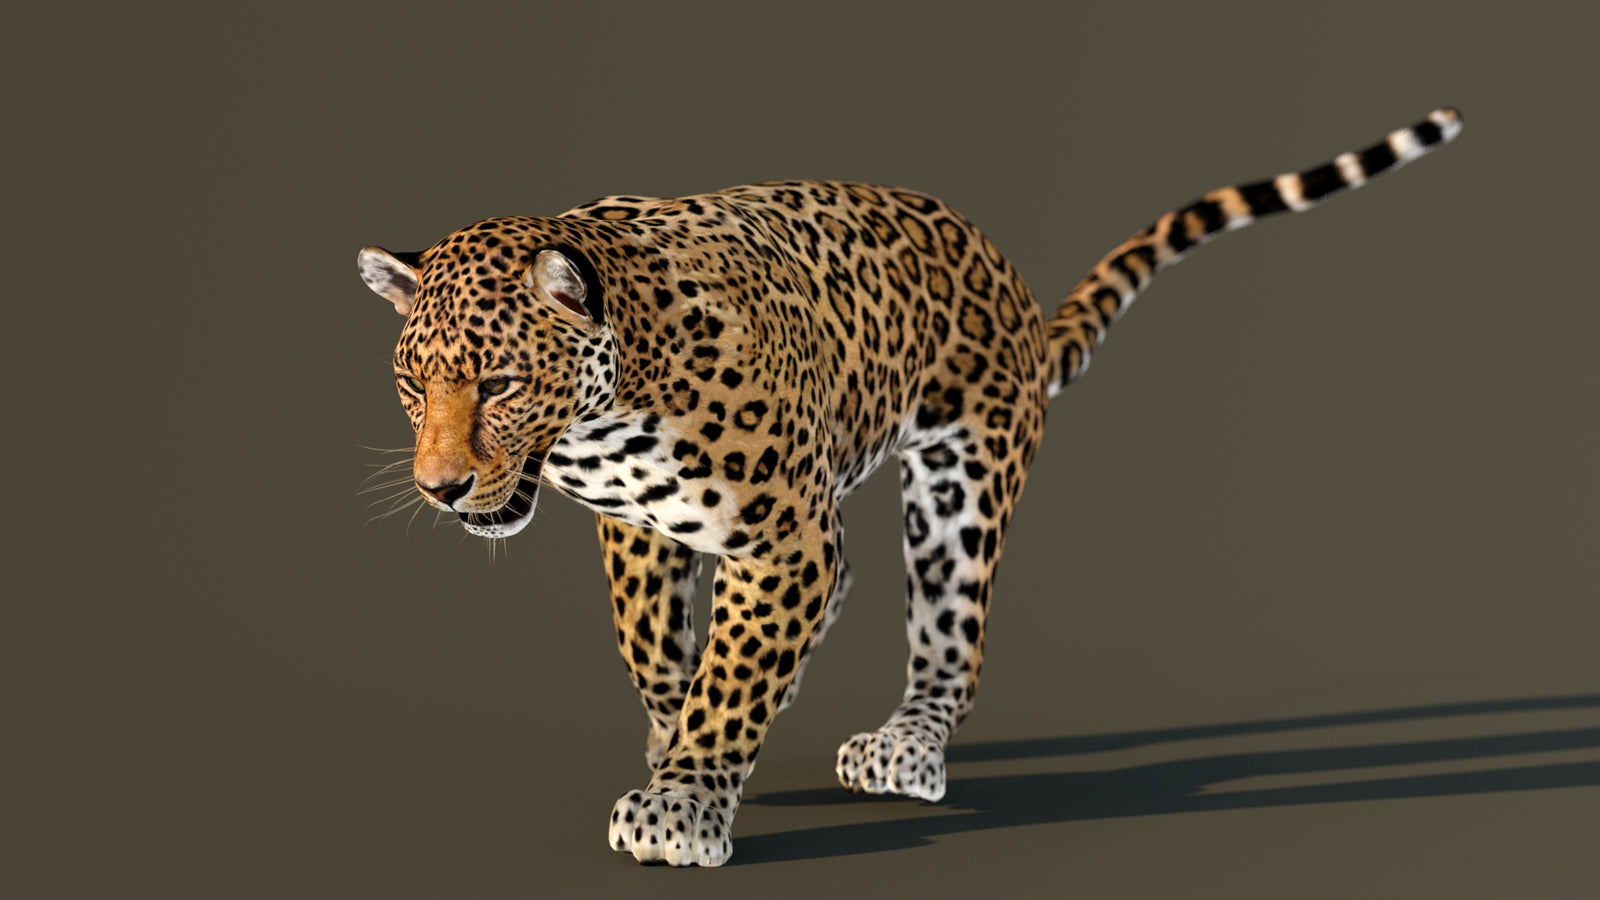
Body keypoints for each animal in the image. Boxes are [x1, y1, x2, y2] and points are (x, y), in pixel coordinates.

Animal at [356, 108, 1462, 866]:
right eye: (413, 384)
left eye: (500, 384)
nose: (441, 488)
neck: (608, 406)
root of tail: (1005, 278)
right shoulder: (641, 528)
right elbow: (655, 648)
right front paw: (676, 745)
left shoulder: (783, 535)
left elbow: (730, 673)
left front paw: (682, 803)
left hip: (958, 488)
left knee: (947, 644)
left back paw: (907, 746)